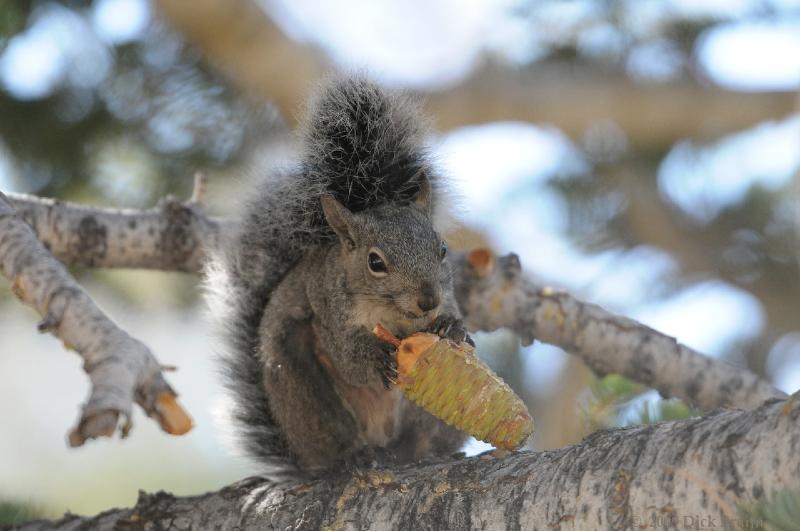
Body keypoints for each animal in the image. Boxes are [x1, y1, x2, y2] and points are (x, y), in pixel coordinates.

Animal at [209, 75, 476, 478]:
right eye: (375, 262)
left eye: (442, 250)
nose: (428, 300)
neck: (393, 318)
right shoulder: (328, 312)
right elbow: (348, 358)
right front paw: (374, 358)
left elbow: (453, 318)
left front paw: (452, 327)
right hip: (304, 395)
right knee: (336, 442)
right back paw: (352, 457)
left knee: (416, 443)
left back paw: (427, 454)